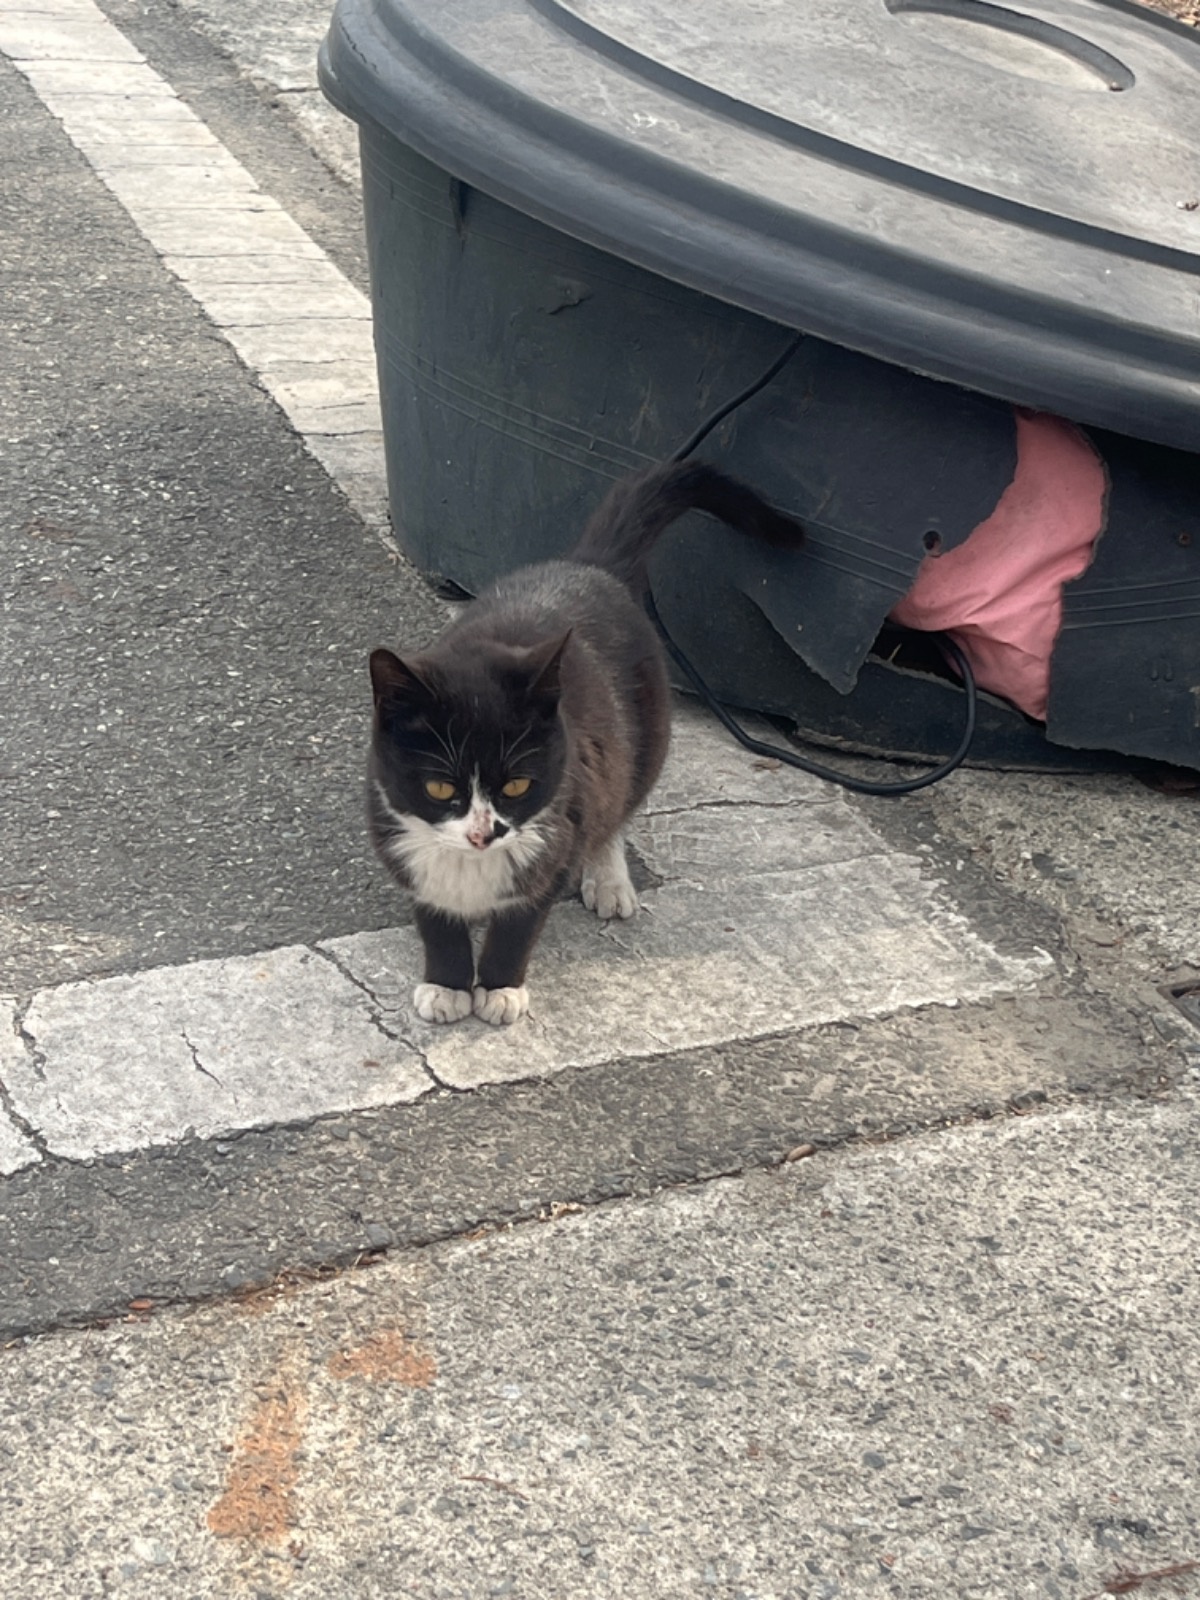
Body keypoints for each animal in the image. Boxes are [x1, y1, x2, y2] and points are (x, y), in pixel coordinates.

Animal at [364, 464, 800, 1030]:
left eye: (517, 785)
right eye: (439, 787)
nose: (485, 834)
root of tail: (591, 566)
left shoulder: (563, 822)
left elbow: (522, 918)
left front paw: (500, 988)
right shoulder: (398, 833)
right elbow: (435, 913)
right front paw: (447, 984)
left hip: (642, 738)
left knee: (619, 804)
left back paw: (609, 881)